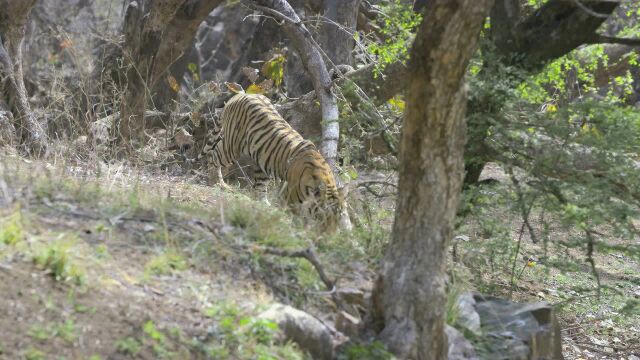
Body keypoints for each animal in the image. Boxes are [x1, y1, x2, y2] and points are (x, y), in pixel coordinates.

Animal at [191, 93, 350, 231]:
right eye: (323, 215)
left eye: (339, 215)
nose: (331, 233)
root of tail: (241, 94)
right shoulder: (289, 200)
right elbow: (297, 220)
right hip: (231, 146)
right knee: (213, 156)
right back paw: (217, 183)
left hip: (262, 162)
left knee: (259, 187)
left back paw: (264, 204)